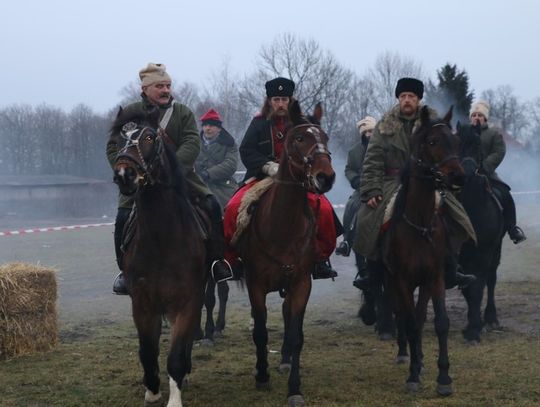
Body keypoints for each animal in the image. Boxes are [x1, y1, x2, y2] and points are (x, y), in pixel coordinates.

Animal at [111, 108, 207, 407]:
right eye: (120, 139)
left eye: (150, 137)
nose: (124, 173)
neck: (161, 238)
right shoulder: (142, 304)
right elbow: (146, 350)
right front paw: (152, 390)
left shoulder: (188, 301)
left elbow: (175, 355)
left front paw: (174, 397)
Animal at [235, 99, 336, 407]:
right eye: (300, 138)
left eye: (325, 137)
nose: (325, 177)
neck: (283, 225)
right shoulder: (255, 285)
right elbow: (260, 331)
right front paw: (261, 376)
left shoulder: (301, 283)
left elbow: (295, 336)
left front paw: (294, 388)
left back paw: (286, 361)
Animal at [384, 107, 464, 396]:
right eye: (432, 142)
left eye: (456, 141)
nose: (458, 176)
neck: (419, 225)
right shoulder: (401, 280)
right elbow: (408, 323)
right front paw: (412, 375)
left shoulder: (435, 278)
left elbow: (440, 323)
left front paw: (444, 377)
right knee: (405, 318)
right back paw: (409, 358)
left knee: (418, 318)